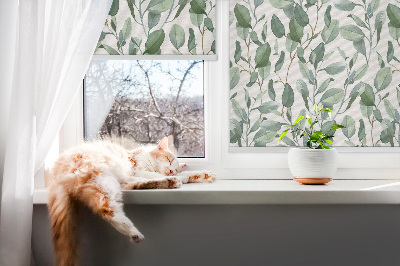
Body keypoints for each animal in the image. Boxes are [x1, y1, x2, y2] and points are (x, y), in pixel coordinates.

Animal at [47, 137, 216, 266]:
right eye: (169, 160)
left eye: (174, 166)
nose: (171, 171)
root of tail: (56, 172)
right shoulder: (137, 169)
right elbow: (153, 174)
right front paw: (182, 176)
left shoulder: (135, 174)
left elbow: (185, 174)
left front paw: (203, 175)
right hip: (103, 178)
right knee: (107, 209)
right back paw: (134, 232)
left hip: (114, 181)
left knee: (134, 186)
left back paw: (170, 182)